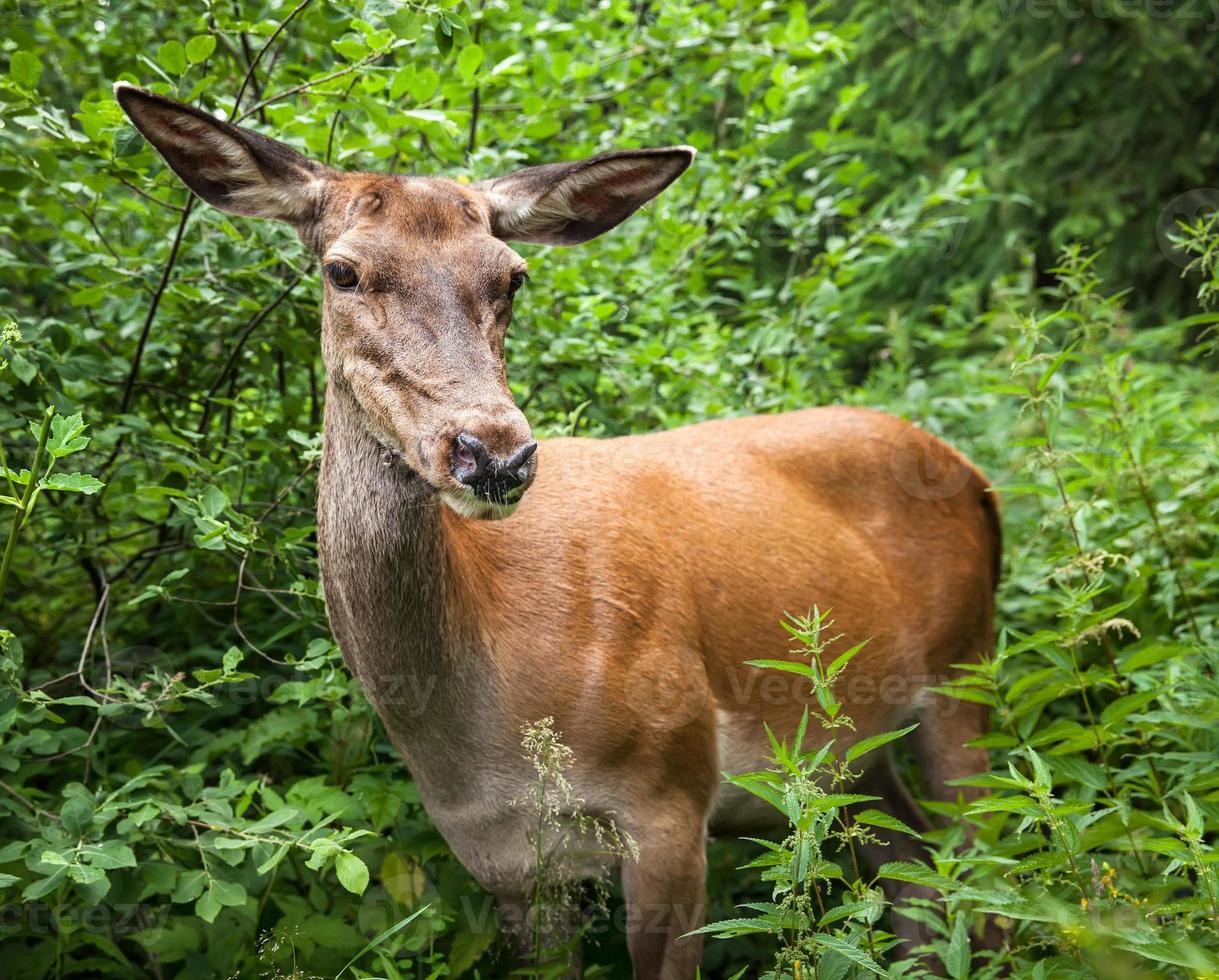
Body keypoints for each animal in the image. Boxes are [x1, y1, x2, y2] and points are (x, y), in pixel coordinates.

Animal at [114, 84, 999, 980]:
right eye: (342, 270)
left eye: (514, 276)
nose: (492, 453)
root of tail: (970, 471)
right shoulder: (502, 858)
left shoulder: (672, 795)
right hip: (859, 747)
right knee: (911, 865)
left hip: (965, 668)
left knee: (982, 871)